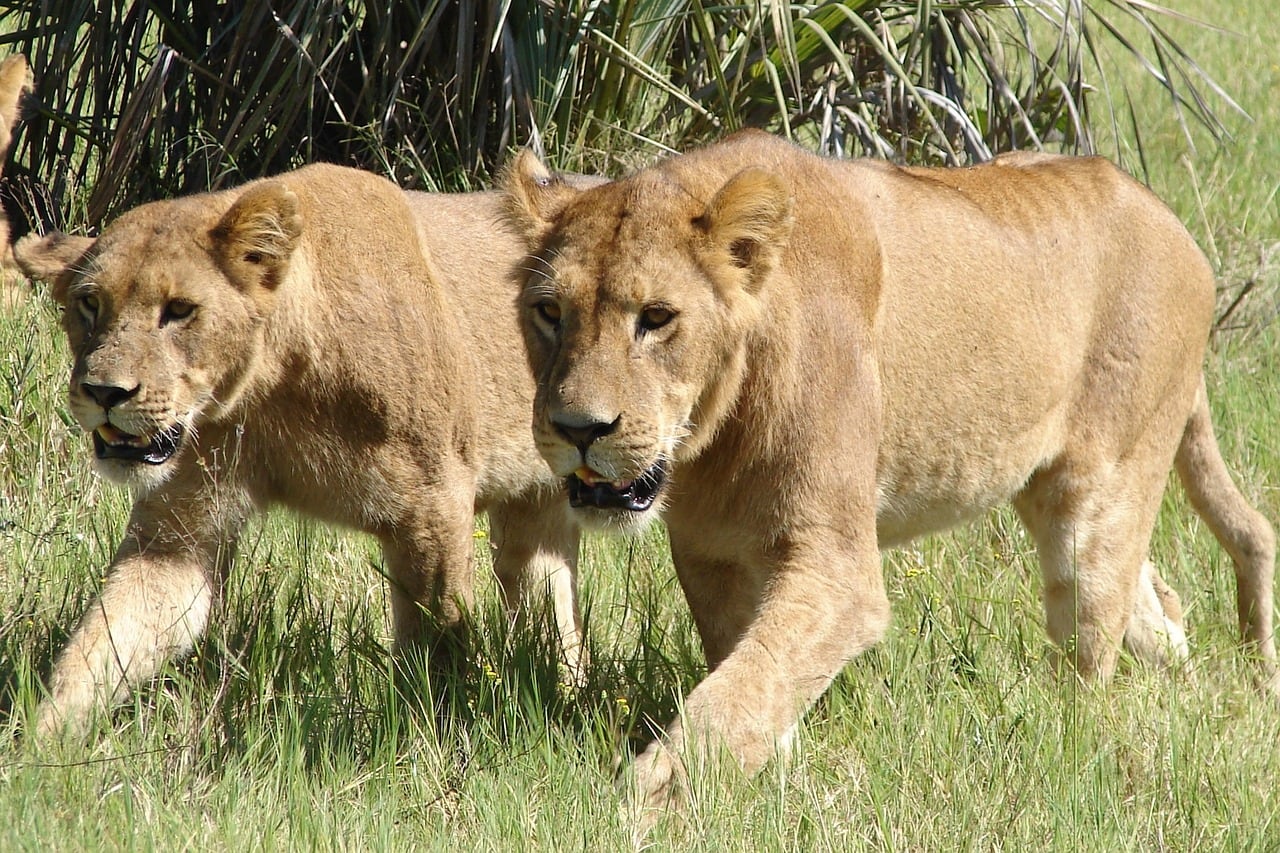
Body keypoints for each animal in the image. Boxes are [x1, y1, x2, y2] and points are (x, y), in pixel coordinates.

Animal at [15, 163, 585, 738]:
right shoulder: (180, 528)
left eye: (179, 310)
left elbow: (438, 640)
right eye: (90, 304)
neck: (274, 388)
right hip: (534, 517)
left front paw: (432, 731)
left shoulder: (436, 504)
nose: (104, 393)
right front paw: (41, 744)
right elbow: (109, 636)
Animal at [503, 129, 1278, 811]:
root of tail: (1171, 221)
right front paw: (775, 778)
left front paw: (643, 801)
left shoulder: (838, 567)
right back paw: (1181, 695)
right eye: (550, 312)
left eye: (657, 317)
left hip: (1100, 491)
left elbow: (736, 695)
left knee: (1096, 635)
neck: (713, 433)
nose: (578, 430)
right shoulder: (712, 553)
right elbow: (756, 673)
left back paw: (1079, 737)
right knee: (1159, 611)